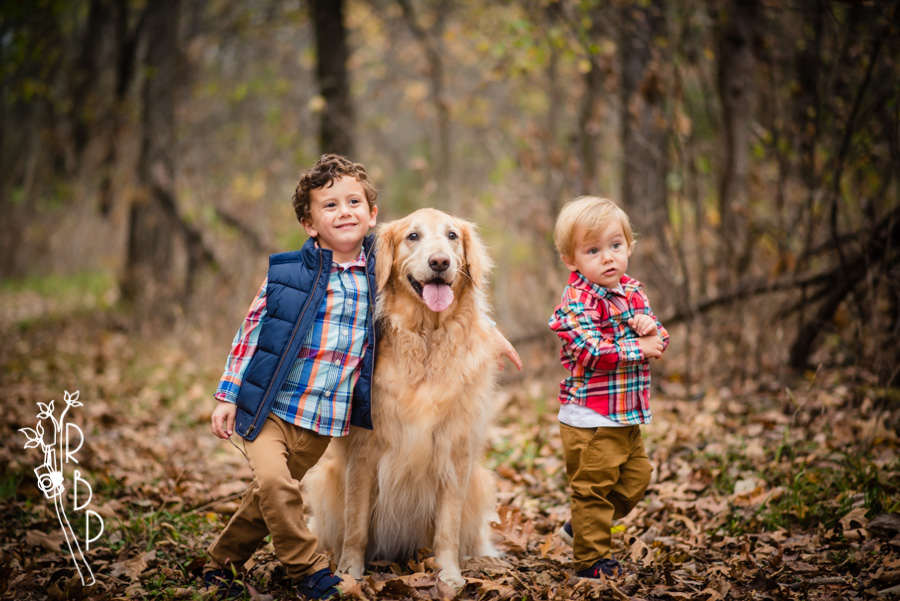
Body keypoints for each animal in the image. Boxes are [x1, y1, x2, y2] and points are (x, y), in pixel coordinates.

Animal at [306, 207, 502, 584]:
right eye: (413, 236)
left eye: (452, 236)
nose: (440, 261)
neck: (426, 339)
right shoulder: (364, 451)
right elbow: (356, 523)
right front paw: (350, 570)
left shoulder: (456, 451)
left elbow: (448, 526)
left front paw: (449, 573)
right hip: (326, 480)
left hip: (479, 481)